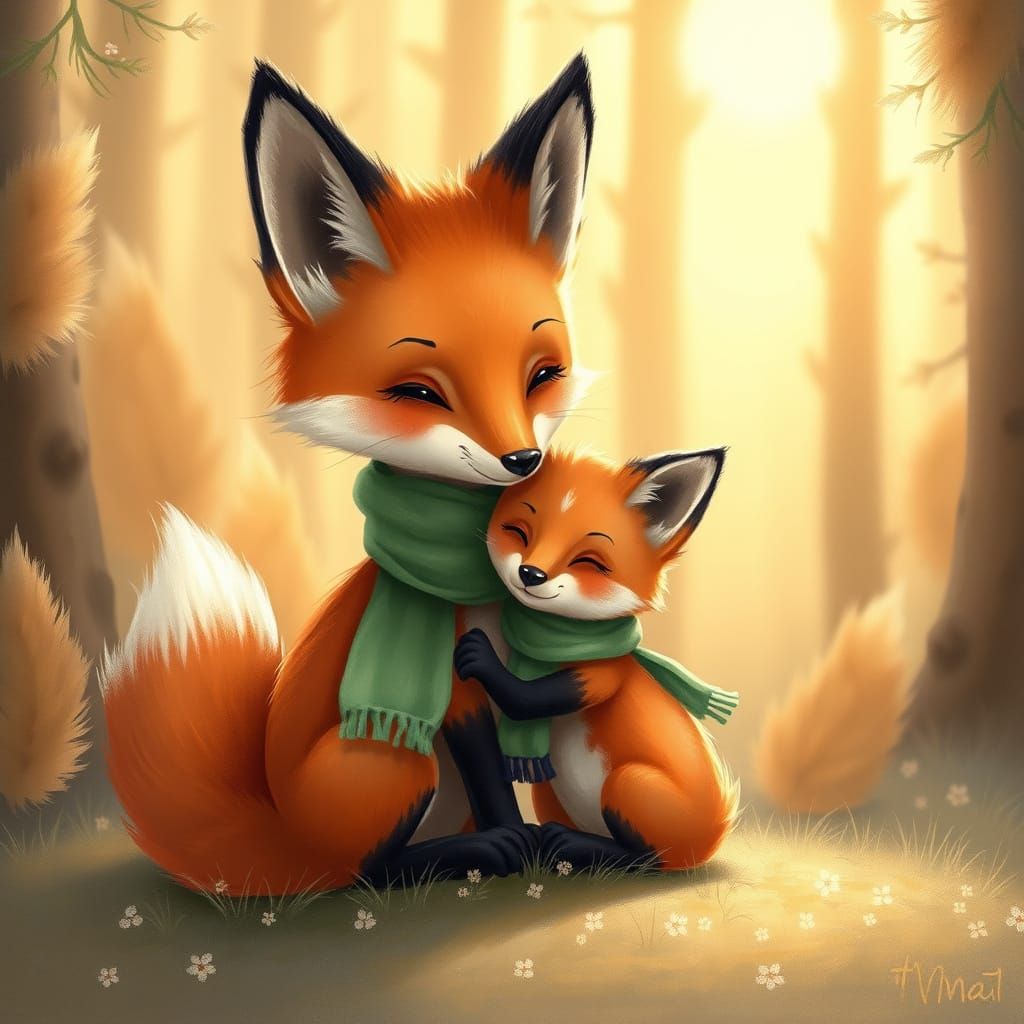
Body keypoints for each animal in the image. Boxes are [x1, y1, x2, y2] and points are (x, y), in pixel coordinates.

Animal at [100, 55, 598, 894]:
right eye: (420, 394)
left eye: (542, 375)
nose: (523, 461)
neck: (474, 584)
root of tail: (281, 830)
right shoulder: (455, 697)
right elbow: (490, 769)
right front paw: (516, 842)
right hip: (396, 763)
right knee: (367, 871)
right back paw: (460, 855)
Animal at [453, 446, 740, 870]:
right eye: (519, 532)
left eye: (587, 562)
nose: (530, 573)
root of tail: (712, 837)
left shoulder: (604, 671)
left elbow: (527, 697)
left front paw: (481, 657)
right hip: (548, 792)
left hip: (628, 783)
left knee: (645, 859)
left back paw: (572, 845)